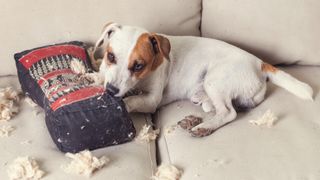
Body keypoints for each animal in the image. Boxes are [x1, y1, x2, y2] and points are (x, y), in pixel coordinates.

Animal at [91, 22, 314, 137]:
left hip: (215, 81)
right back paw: (195, 118)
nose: (111, 91)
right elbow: (100, 75)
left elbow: (131, 100)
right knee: (222, 107)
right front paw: (92, 78)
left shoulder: (151, 100)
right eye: (110, 56)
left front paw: (122, 104)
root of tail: (259, 62)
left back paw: (204, 127)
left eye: (138, 65)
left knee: (229, 113)